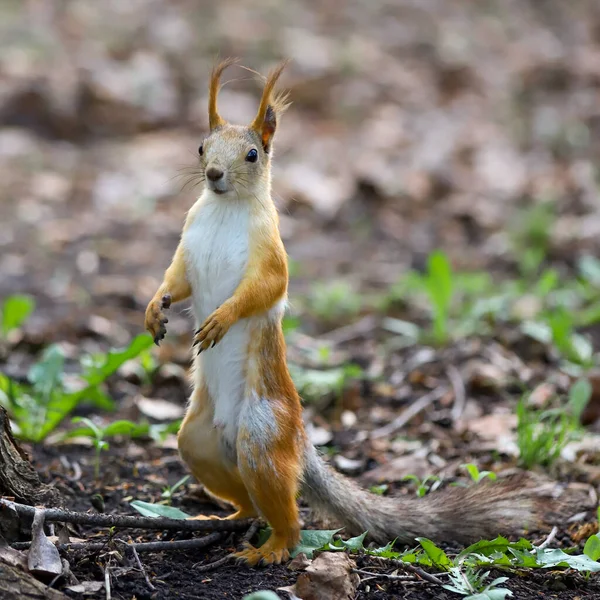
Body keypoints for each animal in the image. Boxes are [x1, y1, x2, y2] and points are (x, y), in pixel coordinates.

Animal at [145, 61, 544, 568]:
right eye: (200, 147)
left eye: (253, 154)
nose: (213, 174)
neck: (223, 208)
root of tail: (296, 440)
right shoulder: (188, 242)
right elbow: (176, 279)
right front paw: (153, 310)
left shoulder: (271, 252)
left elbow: (264, 288)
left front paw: (222, 317)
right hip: (199, 443)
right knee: (245, 498)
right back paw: (226, 518)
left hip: (262, 437)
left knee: (288, 516)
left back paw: (271, 548)